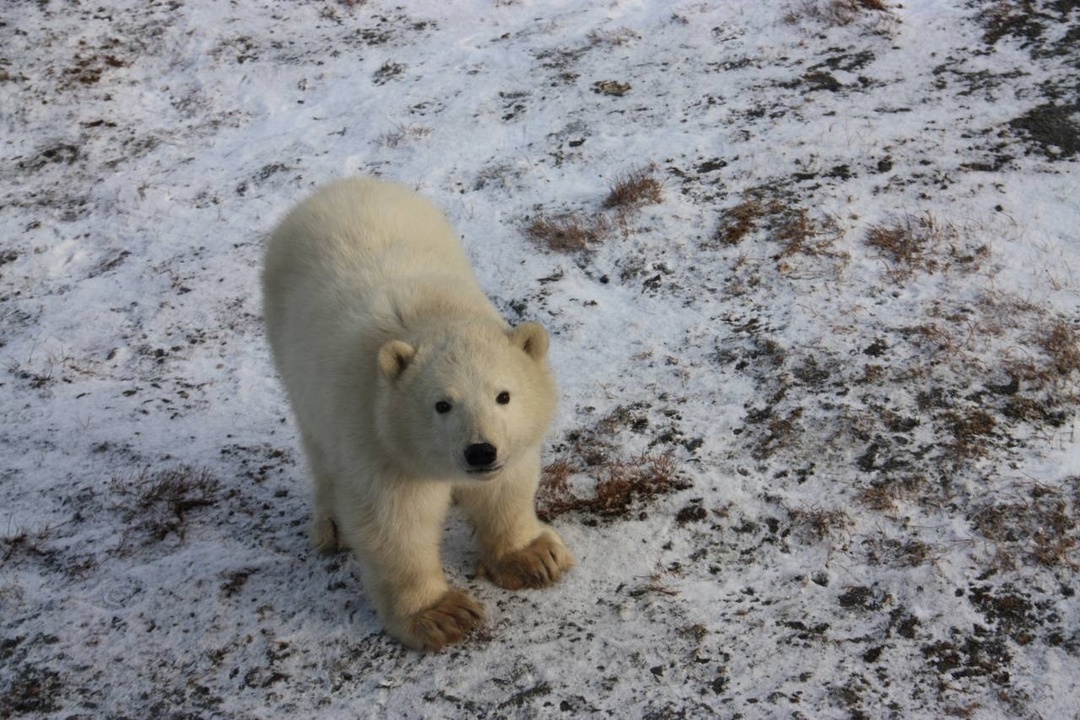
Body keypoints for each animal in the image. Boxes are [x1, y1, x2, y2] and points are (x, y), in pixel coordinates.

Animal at [261, 177, 574, 651]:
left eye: (503, 395)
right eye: (442, 404)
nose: (480, 452)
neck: (433, 316)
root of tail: (337, 187)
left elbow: (507, 488)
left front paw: (533, 557)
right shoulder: (377, 438)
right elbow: (395, 523)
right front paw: (442, 614)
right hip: (291, 356)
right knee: (318, 446)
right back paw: (331, 526)